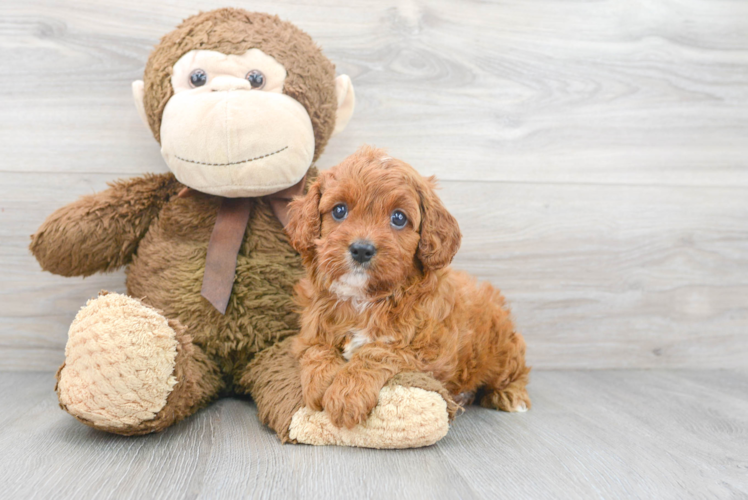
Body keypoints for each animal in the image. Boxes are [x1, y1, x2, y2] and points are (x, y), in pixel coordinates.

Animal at [286, 146, 532, 430]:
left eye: (398, 218)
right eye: (339, 211)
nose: (362, 249)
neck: (364, 300)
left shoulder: (427, 350)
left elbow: (378, 352)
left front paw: (347, 395)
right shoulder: (309, 329)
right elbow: (315, 349)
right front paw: (321, 382)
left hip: (501, 347)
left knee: (514, 370)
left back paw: (512, 396)